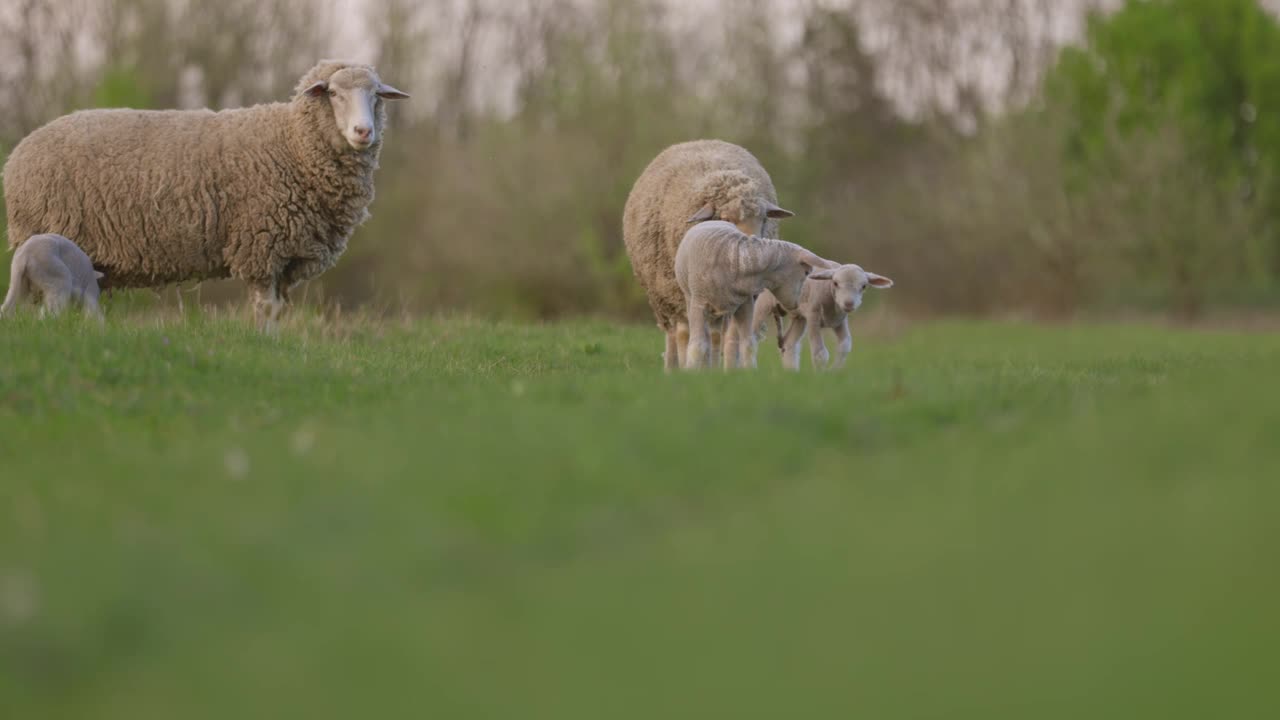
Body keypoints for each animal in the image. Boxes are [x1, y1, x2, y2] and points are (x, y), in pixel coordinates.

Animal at [1, 59, 409, 327]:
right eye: (335, 94)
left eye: (376, 95)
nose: (363, 132)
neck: (293, 144)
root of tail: (17, 154)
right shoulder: (260, 246)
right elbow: (265, 309)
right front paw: (264, 346)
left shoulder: (284, 256)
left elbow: (278, 309)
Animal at [624, 139, 793, 368]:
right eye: (726, 219)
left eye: (764, 220)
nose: (755, 256)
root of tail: (697, 141)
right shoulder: (680, 293)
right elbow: (685, 335)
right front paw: (688, 366)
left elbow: (730, 337)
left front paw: (730, 368)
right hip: (662, 296)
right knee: (673, 334)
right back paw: (673, 366)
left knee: (715, 334)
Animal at [675, 220, 834, 368]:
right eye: (806, 272)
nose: (797, 304)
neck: (737, 259)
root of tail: (713, 220)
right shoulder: (699, 304)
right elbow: (696, 347)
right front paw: (690, 370)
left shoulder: (745, 304)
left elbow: (748, 344)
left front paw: (750, 371)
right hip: (692, 299)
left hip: (720, 311)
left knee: (715, 338)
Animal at [747, 262, 890, 368]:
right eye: (835, 283)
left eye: (864, 286)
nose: (849, 303)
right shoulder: (813, 316)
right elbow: (820, 354)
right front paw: (820, 377)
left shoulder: (839, 321)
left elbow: (845, 346)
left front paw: (834, 371)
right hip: (763, 303)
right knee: (751, 339)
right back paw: (749, 369)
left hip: (799, 317)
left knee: (789, 345)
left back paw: (791, 373)